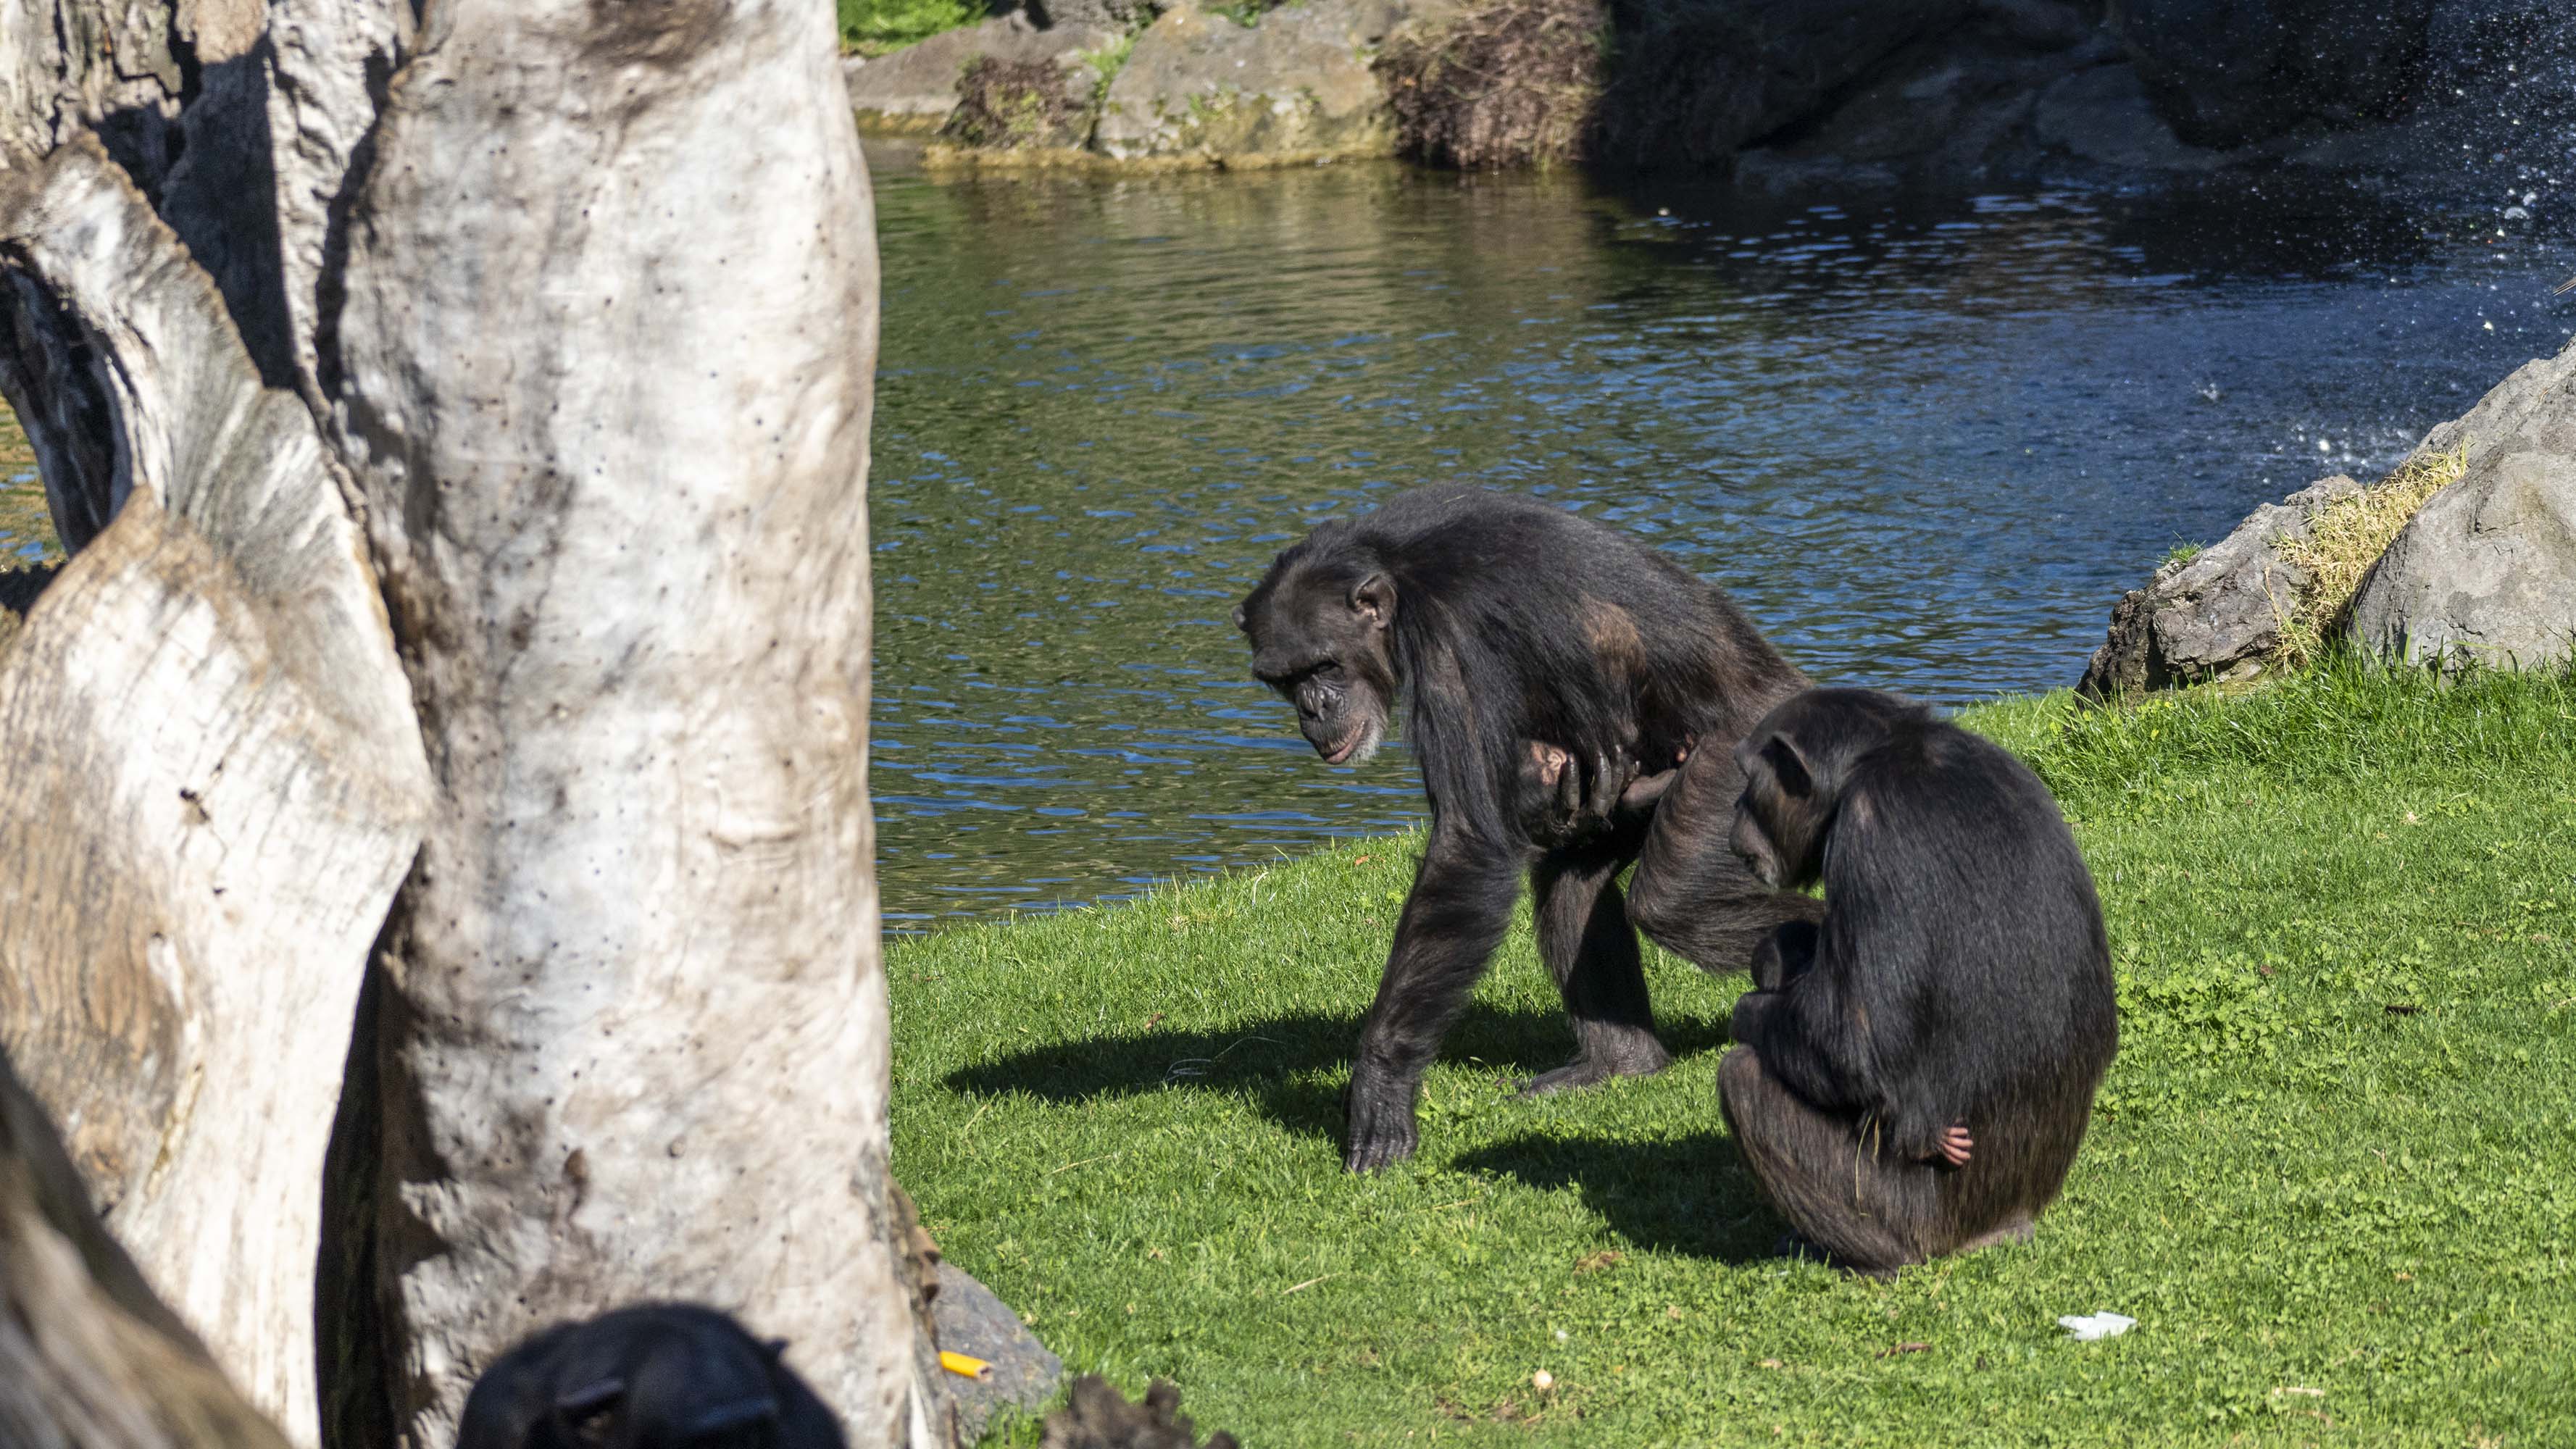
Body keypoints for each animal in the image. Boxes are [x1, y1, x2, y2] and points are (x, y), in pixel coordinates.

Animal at [1236, 494, 1823, 1173]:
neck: (1395, 575)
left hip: (1743, 767)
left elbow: (1469, 841)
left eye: (1325, 664)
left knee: (1675, 905)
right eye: (1285, 679)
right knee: (1572, 887)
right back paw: (1620, 1064)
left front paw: (1380, 1087)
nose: (1313, 708)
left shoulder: (1453, 642)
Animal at [1720, 690, 2122, 1271]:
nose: (1735, 807)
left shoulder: (1871, 831)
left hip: (1912, 1216)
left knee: (1744, 1078)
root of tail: (2007, 1226)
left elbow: (1850, 1046)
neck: (1876, 756)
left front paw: (1747, 1009)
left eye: (1747, 777)